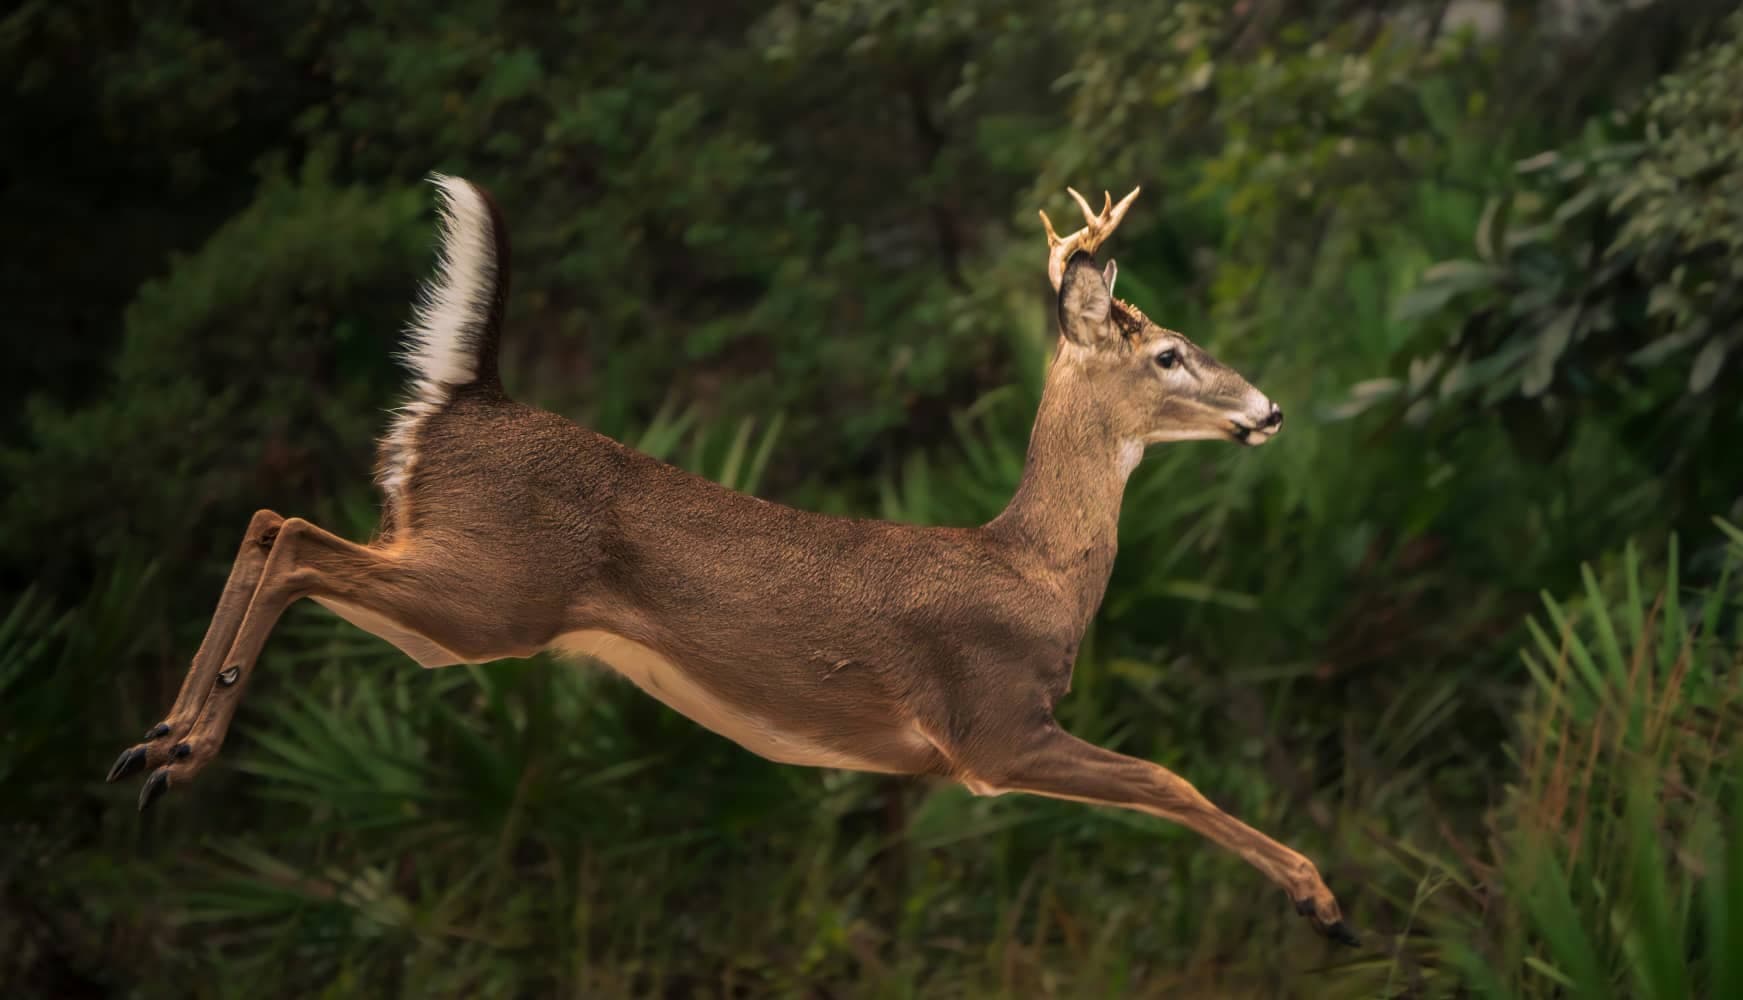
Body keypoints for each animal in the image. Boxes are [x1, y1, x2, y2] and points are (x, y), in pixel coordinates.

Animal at [105, 176, 1357, 947]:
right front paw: (1323, 900)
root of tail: (467, 398)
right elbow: (1171, 779)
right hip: (485, 592)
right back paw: (176, 750)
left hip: (454, 588)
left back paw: (154, 747)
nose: (1271, 410)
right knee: (292, 534)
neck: (1037, 569)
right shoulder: (991, 729)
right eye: (1171, 351)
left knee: (271, 522)